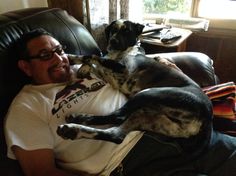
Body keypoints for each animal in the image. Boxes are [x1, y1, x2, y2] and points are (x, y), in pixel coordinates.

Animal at [56, 19, 212, 144]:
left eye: (127, 31)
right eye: (113, 30)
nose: (112, 41)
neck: (121, 52)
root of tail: (208, 116)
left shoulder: (121, 68)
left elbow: (94, 55)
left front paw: (74, 59)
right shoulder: (109, 74)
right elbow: (93, 58)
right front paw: (77, 63)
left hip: (150, 93)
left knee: (118, 116)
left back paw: (77, 119)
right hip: (149, 116)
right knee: (116, 135)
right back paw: (73, 130)